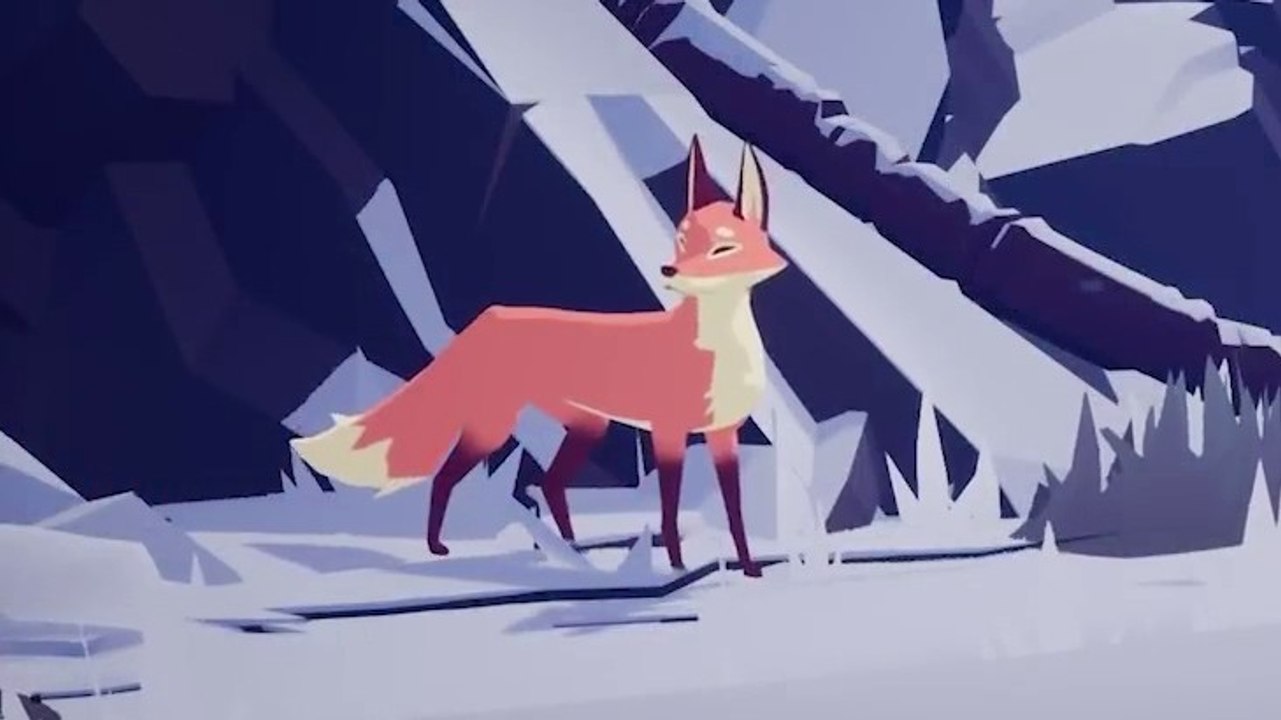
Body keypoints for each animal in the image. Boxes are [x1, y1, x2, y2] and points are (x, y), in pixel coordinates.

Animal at [290, 135, 788, 577]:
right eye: (681, 241)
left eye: (722, 248)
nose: (669, 270)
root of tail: (490, 315)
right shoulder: (668, 433)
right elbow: (669, 508)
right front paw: (678, 563)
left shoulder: (722, 435)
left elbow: (736, 513)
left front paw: (748, 569)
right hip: (495, 427)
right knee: (447, 477)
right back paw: (439, 547)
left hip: (587, 425)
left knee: (549, 482)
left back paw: (570, 551)